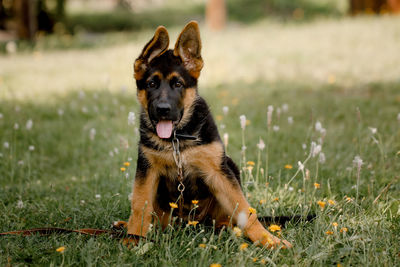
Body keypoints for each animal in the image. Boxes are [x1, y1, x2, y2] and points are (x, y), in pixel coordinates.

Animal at [126, 22, 292, 250]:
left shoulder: (218, 172)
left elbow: (246, 211)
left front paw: (268, 240)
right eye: (151, 84)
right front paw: (134, 238)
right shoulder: (147, 169)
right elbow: (139, 205)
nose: (163, 109)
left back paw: (225, 230)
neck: (177, 140)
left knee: (228, 219)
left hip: (230, 166)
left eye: (178, 84)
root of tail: (188, 223)